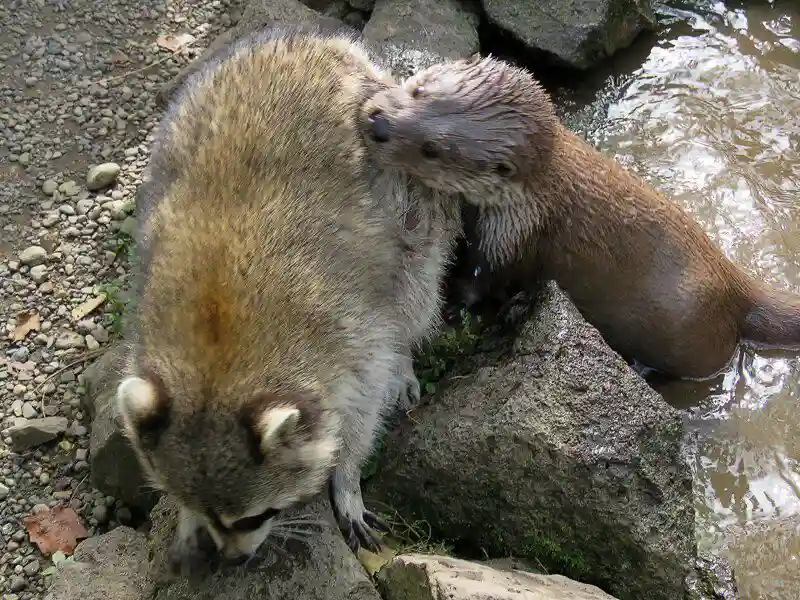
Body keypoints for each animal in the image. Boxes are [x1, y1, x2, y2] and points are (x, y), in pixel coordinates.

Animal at [115, 25, 460, 576]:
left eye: (258, 515)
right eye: (203, 509)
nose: (234, 561)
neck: (219, 360)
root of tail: (318, 42)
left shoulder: (354, 336)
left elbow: (362, 412)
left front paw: (346, 479)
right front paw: (187, 523)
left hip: (415, 201)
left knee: (415, 287)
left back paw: (408, 350)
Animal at [360, 54, 800, 378]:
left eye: (432, 148)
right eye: (417, 89)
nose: (378, 122)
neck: (530, 196)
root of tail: (734, 283)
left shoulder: (512, 235)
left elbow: (484, 279)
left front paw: (451, 304)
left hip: (691, 336)